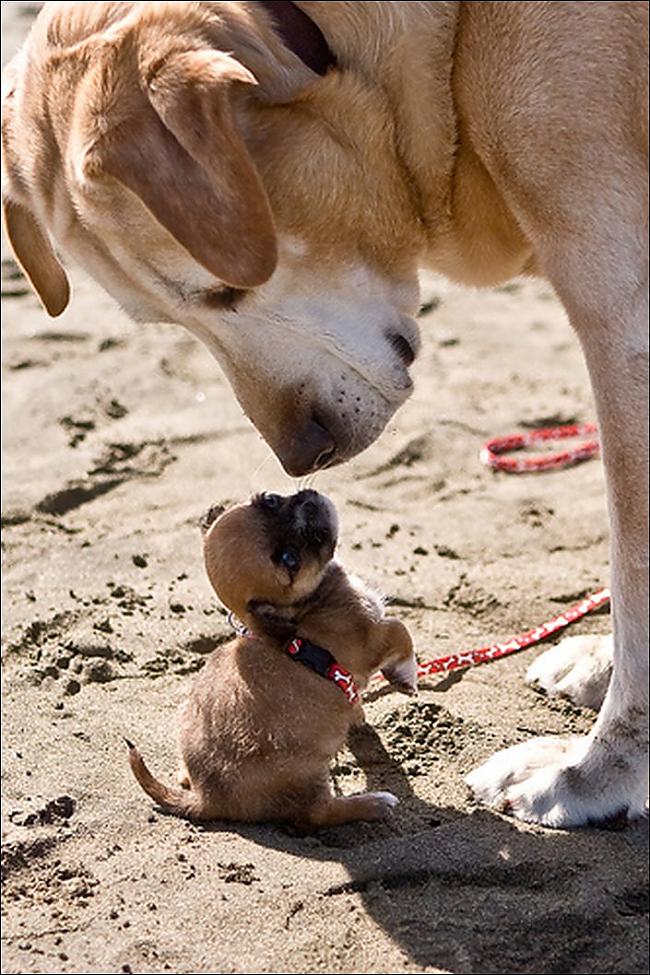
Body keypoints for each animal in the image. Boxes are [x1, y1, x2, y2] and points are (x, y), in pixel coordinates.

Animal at [128, 492, 416, 828]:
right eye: (290, 560)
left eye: (270, 500)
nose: (310, 503)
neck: (307, 606)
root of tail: (207, 798)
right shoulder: (373, 637)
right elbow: (400, 630)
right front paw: (407, 676)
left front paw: (358, 712)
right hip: (309, 774)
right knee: (317, 813)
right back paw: (373, 803)